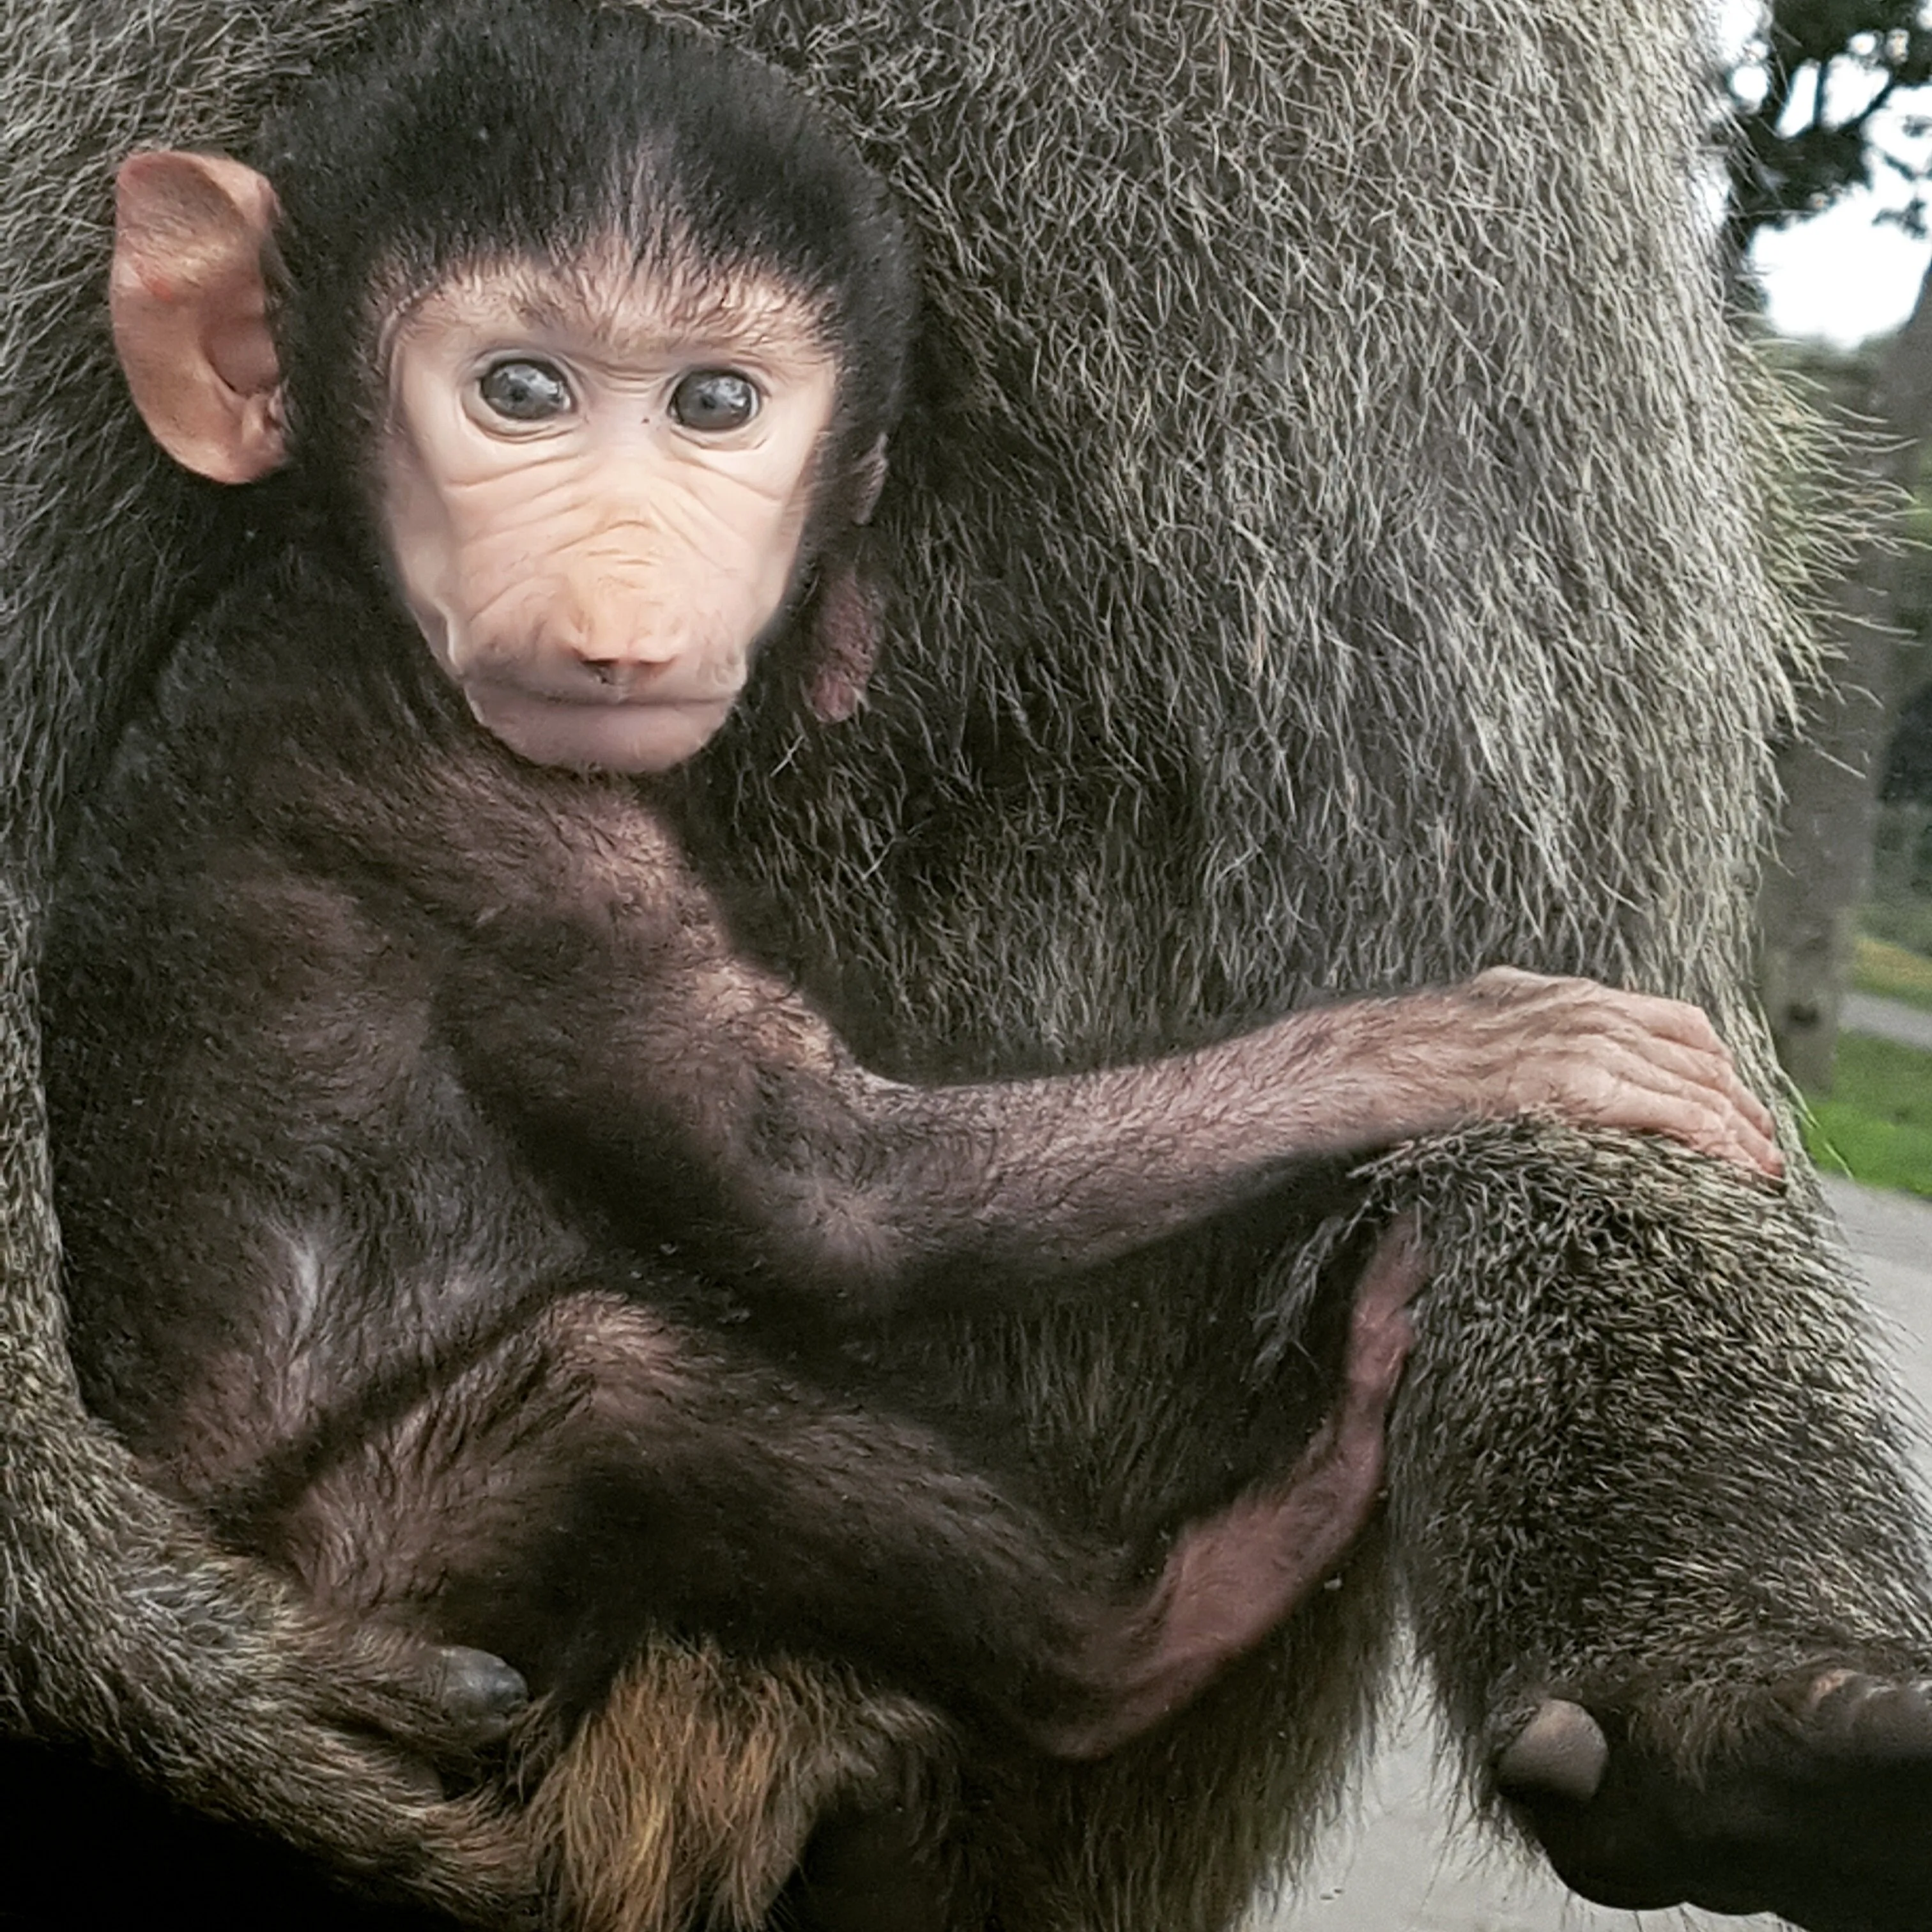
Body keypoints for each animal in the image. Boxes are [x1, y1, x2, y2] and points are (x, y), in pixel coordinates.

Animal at [8, 3, 1932, 1931]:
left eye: (720, 407)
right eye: (517, 394)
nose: (620, 576)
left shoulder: (1484, 138)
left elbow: (1553, 883)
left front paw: (1732, 1665)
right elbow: (812, 1171)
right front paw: (158, 1645)